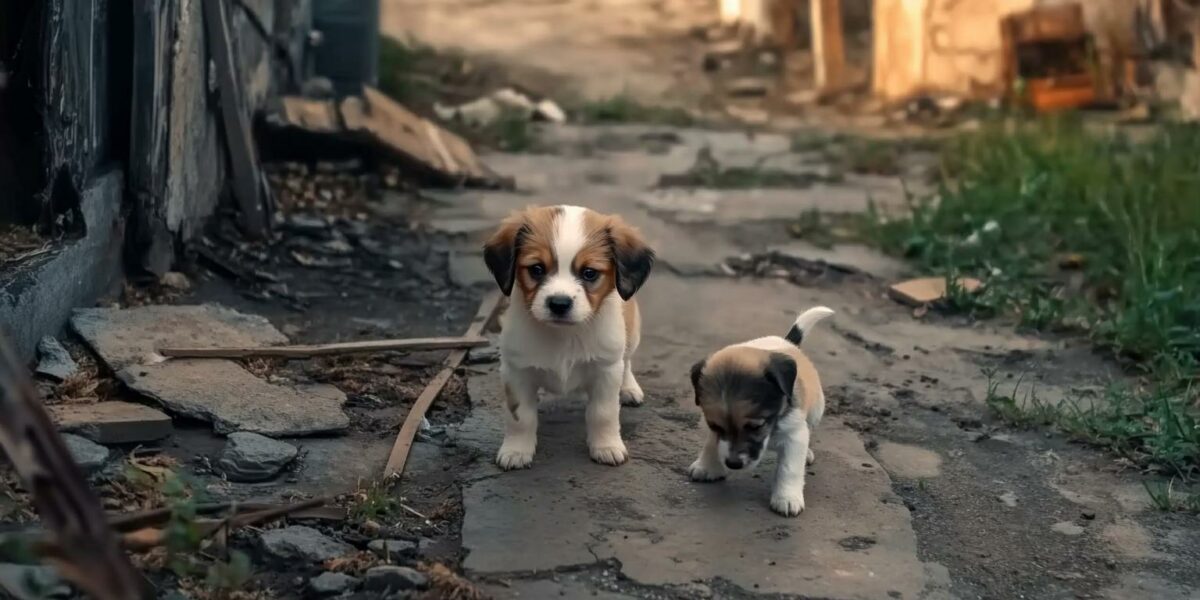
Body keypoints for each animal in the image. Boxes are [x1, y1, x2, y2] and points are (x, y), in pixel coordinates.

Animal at [480, 204, 657, 470]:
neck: (564, 335)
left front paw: (606, 446)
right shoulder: (516, 372)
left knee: (626, 362)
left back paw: (628, 388)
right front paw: (516, 450)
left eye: (589, 273)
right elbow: (520, 417)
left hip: (630, 336)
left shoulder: (605, 370)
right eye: (537, 269)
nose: (559, 303)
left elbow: (603, 413)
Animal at [691, 307, 830, 518]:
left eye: (755, 426)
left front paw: (787, 498)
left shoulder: (794, 435)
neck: (771, 430)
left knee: (810, 429)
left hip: (816, 410)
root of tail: (789, 343)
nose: (733, 464)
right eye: (715, 426)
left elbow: (789, 468)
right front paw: (707, 466)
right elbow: (712, 444)